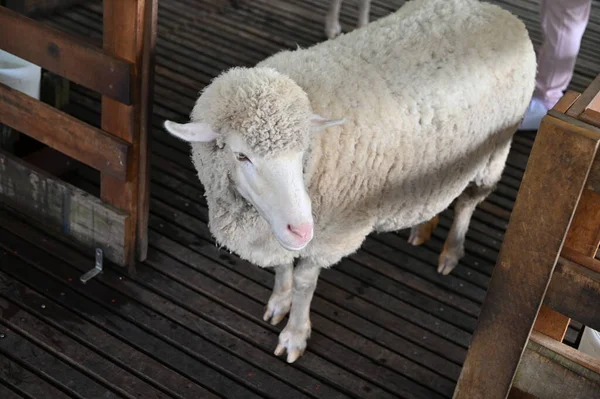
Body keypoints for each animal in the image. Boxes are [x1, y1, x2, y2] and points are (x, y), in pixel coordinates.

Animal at [163, 0, 536, 364]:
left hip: (494, 151)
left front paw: (295, 333)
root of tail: (499, 12)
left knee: (468, 203)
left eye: (303, 151)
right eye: (241, 156)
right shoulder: (278, 233)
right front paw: (279, 302)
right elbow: (283, 267)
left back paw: (451, 252)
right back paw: (423, 228)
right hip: (449, 163)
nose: (302, 229)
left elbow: (303, 283)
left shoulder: (331, 236)